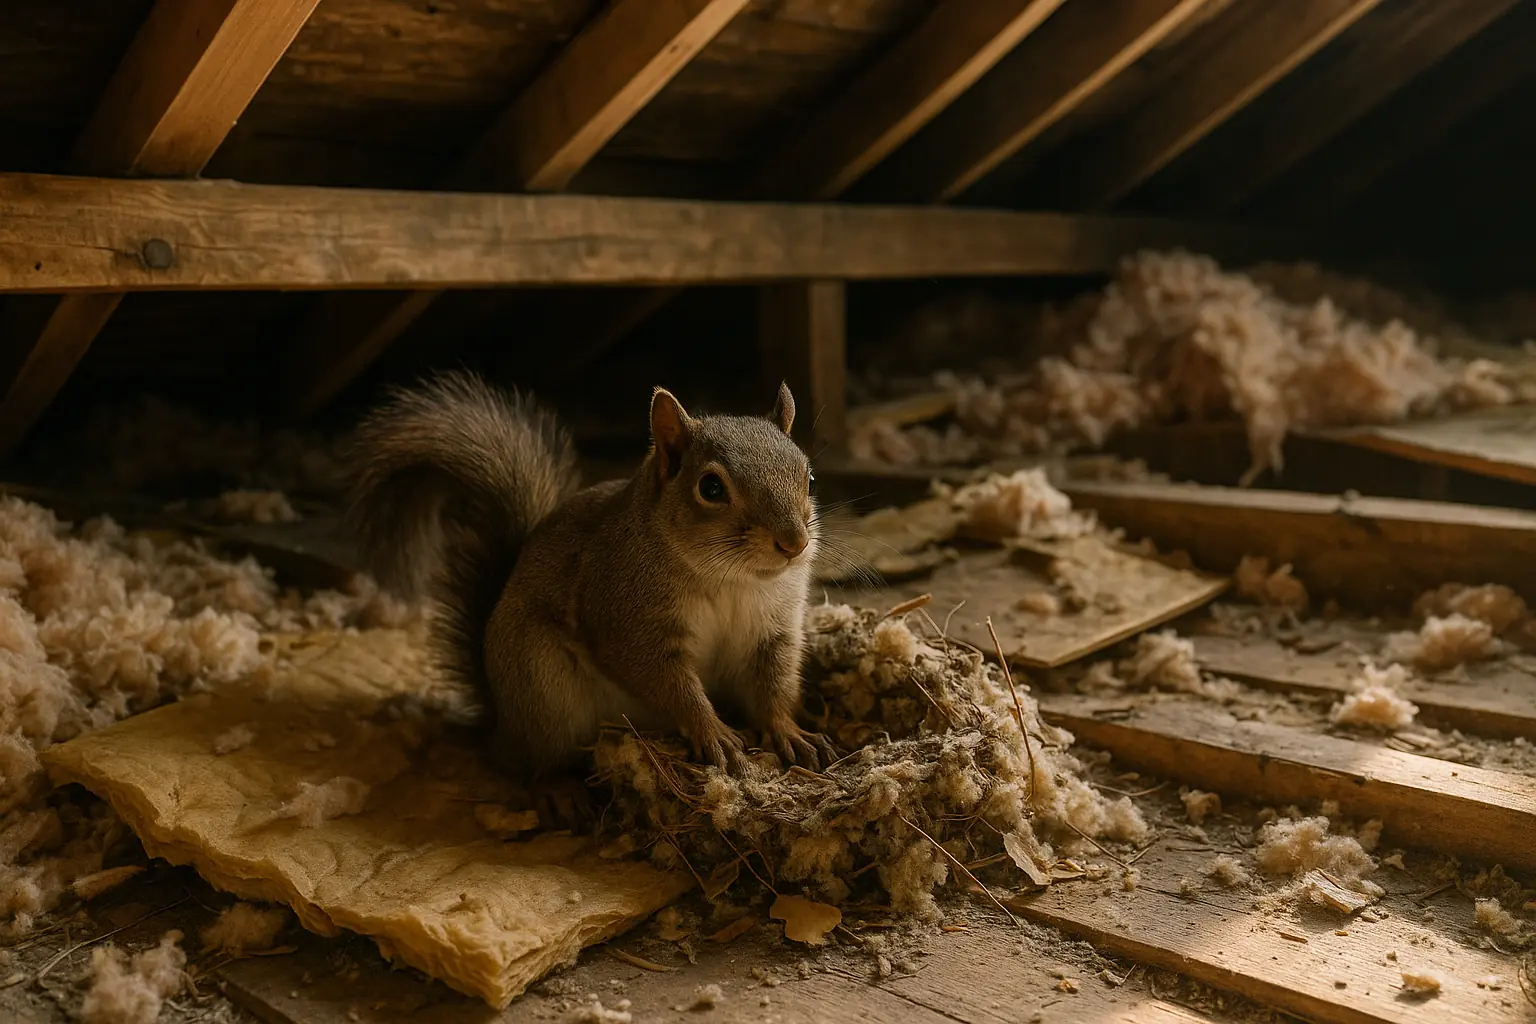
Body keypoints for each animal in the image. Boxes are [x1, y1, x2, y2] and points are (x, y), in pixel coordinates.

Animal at [344, 370, 835, 798]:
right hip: (543, 690)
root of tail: (499, 722)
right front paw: (711, 731)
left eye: (810, 478)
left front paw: (790, 732)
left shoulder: (774, 631)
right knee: (529, 761)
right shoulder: (628, 619)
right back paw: (558, 790)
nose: (794, 543)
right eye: (711, 488)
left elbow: (773, 686)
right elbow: (669, 683)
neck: (733, 580)